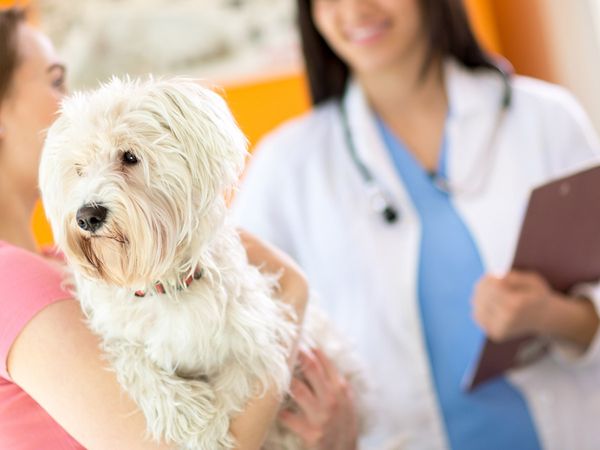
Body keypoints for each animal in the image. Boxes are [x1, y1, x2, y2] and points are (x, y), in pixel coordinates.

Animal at [39, 79, 366, 448]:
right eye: (78, 170)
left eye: (130, 157)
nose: (86, 216)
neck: (163, 286)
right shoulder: (119, 336)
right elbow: (136, 362)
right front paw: (193, 419)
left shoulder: (261, 331)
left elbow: (237, 379)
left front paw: (208, 432)